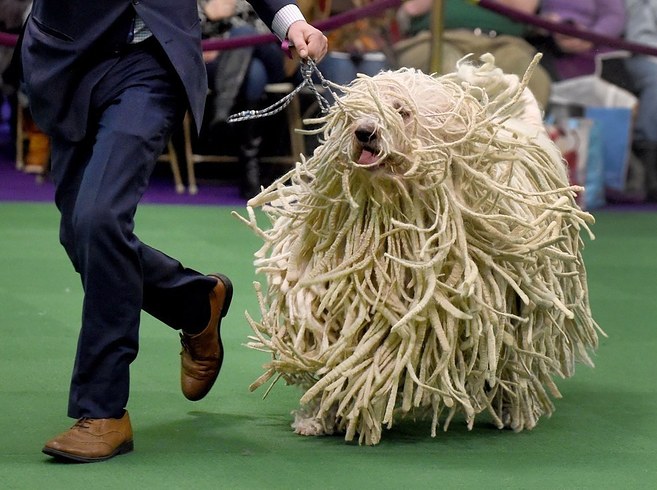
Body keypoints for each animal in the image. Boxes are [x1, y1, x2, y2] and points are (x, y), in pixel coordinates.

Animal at [236, 53, 600, 444]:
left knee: (515, 359)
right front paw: (321, 413)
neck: (394, 220)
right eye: (354, 112)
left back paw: (512, 410)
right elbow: (336, 346)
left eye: (401, 111)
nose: (365, 131)